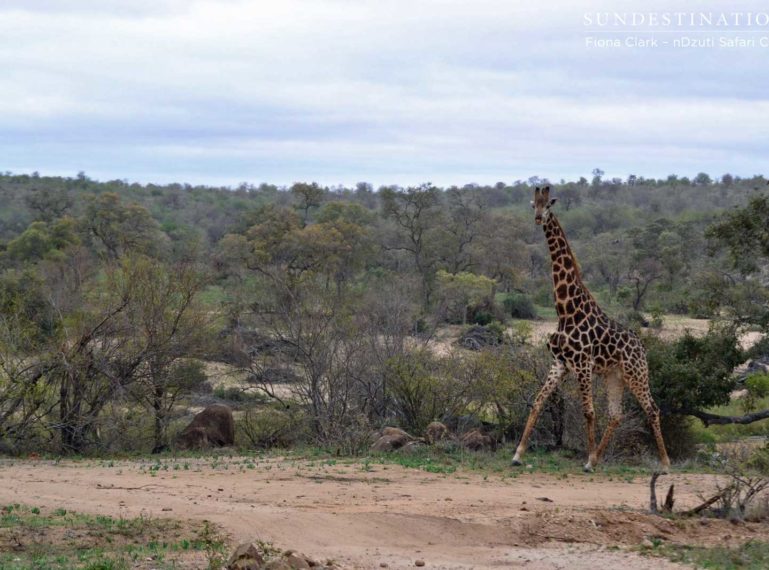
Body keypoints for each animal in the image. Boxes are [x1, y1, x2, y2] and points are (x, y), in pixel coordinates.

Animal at [512, 186, 668, 470]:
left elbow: (588, 411)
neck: (565, 310)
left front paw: (586, 459)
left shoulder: (582, 363)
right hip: (614, 376)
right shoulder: (560, 363)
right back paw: (597, 459)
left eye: (548, 205)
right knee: (616, 415)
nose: (539, 218)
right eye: (533, 205)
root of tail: (642, 347)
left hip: (636, 373)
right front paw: (518, 454)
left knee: (652, 408)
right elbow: (537, 403)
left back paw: (664, 463)